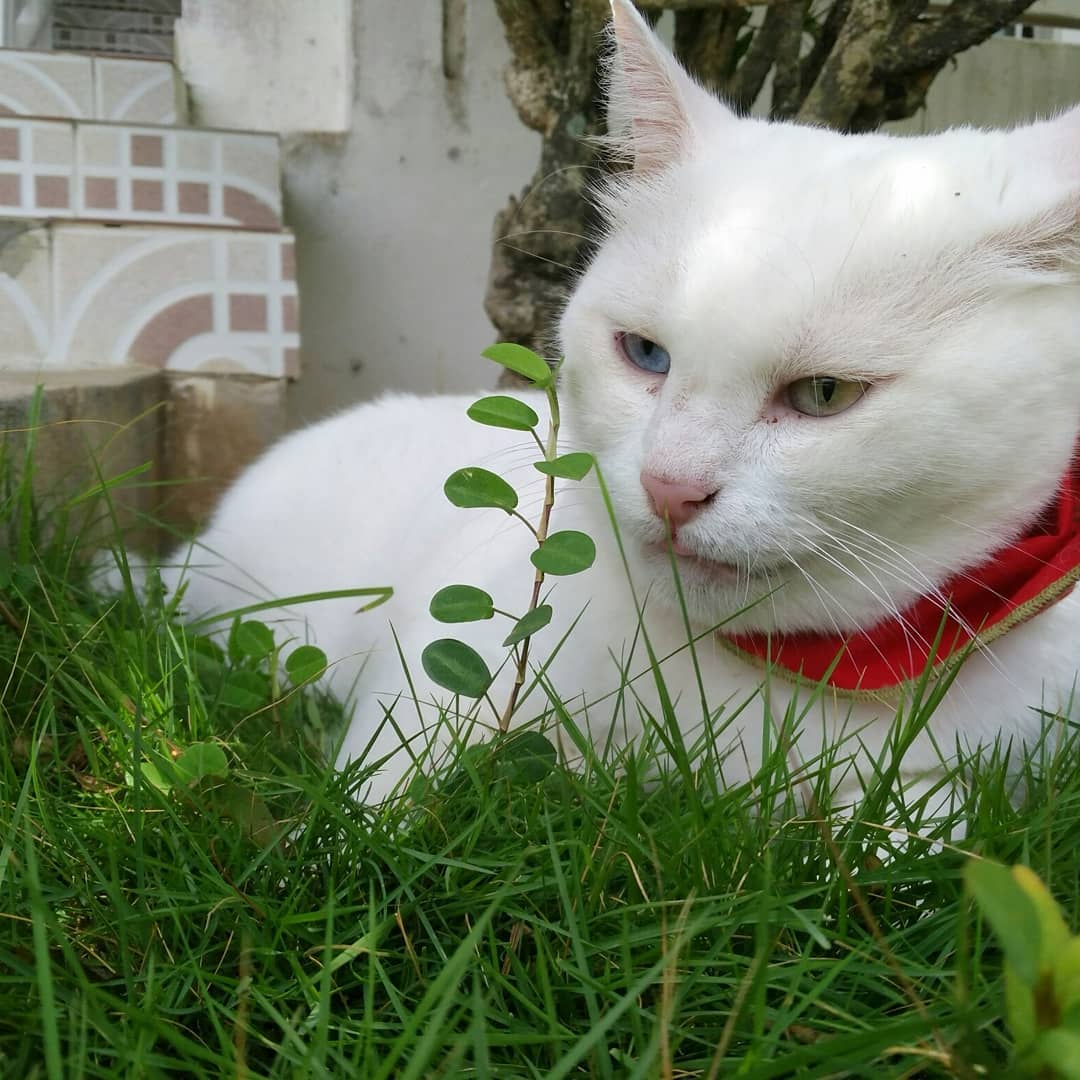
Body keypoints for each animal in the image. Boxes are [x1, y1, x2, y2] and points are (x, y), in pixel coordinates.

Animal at [139, 0, 1080, 807]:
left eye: (824, 394)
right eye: (645, 355)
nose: (671, 487)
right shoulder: (446, 681)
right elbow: (376, 803)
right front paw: (338, 849)